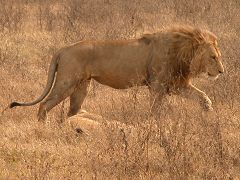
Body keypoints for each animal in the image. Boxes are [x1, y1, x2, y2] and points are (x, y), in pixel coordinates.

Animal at [9, 25, 225, 121]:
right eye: (213, 57)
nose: (222, 72)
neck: (182, 50)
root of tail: (64, 48)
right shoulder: (157, 86)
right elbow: (156, 109)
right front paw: (158, 124)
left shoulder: (175, 84)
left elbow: (202, 96)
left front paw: (208, 112)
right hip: (66, 82)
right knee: (45, 105)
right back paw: (43, 126)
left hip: (82, 86)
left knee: (73, 110)